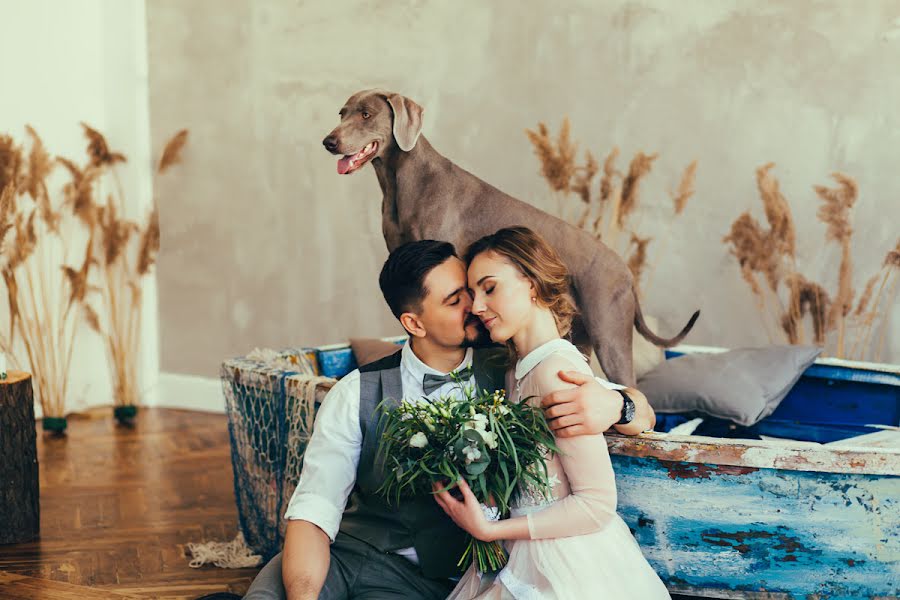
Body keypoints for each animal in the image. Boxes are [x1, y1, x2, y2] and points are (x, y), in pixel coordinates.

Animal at [324, 91, 696, 386]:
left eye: (366, 114)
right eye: (342, 112)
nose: (329, 141)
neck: (400, 180)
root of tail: (627, 275)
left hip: (609, 332)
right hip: (580, 335)